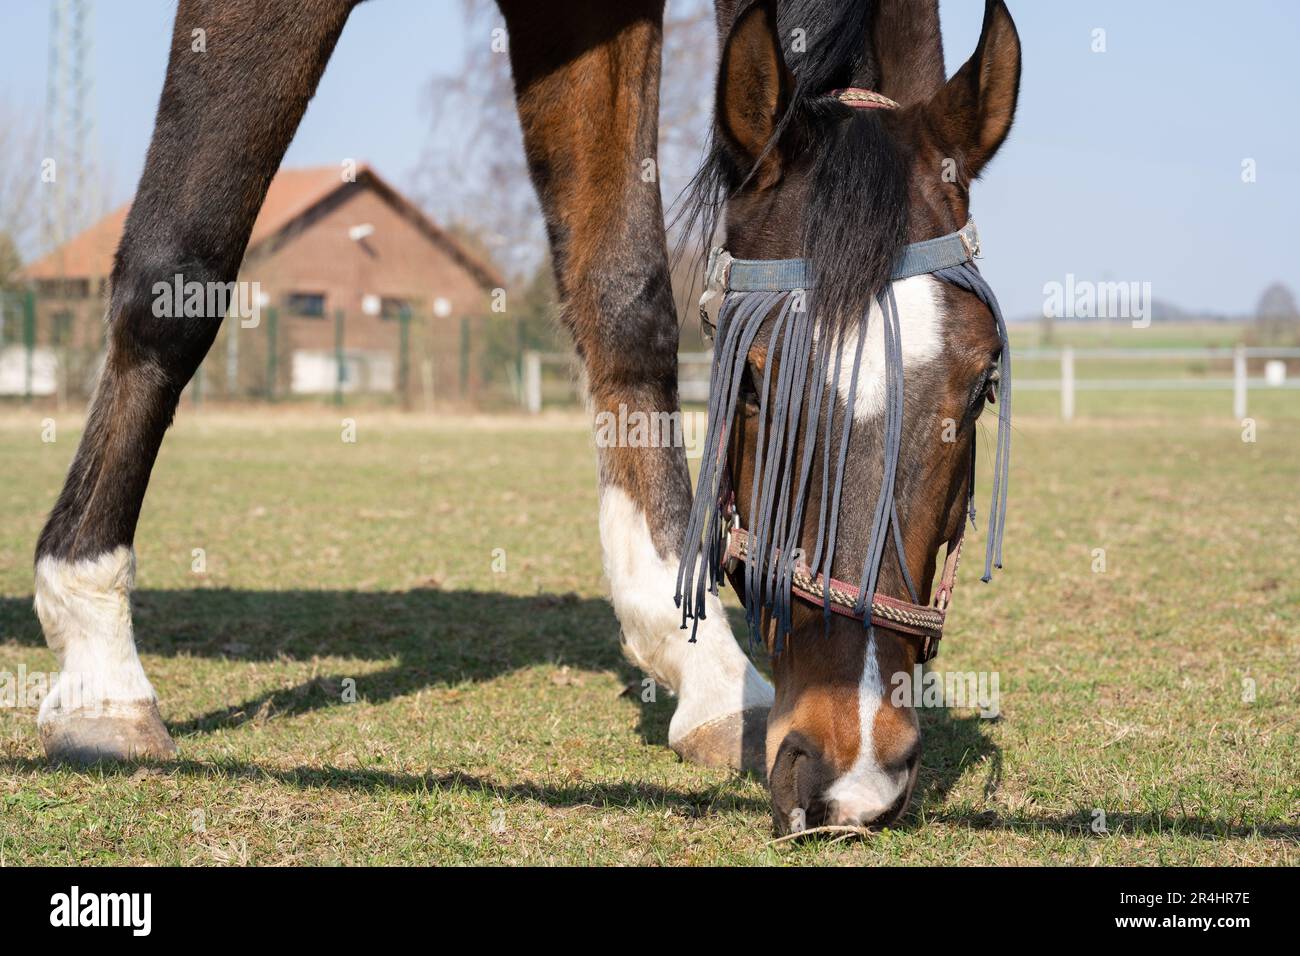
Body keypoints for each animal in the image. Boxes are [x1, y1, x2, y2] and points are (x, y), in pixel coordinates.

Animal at [30, 0, 1019, 832]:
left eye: (977, 390)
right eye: (751, 382)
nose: (853, 770)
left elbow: (623, 293)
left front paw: (700, 664)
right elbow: (178, 275)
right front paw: (99, 662)